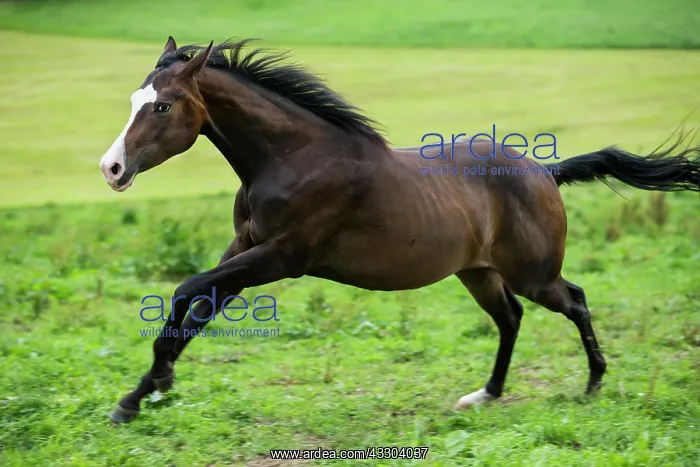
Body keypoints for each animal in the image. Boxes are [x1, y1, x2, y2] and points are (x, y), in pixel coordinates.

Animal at [99, 37, 700, 424]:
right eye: (133, 101)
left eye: (162, 106)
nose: (111, 169)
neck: (293, 158)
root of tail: (545, 172)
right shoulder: (245, 249)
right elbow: (197, 307)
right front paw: (142, 395)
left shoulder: (282, 256)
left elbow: (187, 290)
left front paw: (152, 385)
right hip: (478, 272)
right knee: (511, 318)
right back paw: (485, 396)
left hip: (532, 272)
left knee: (574, 300)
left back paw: (594, 383)